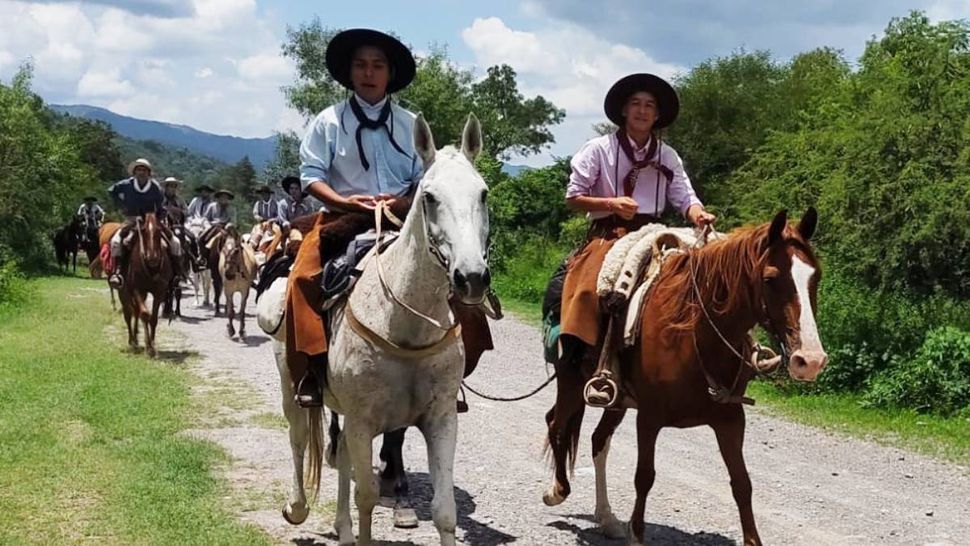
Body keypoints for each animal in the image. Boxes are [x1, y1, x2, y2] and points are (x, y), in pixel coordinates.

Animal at [120, 212, 175, 356]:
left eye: (159, 230)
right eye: (144, 231)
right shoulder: (137, 290)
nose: (152, 258)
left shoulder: (159, 292)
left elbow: (153, 318)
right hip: (123, 292)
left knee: (136, 311)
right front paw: (148, 347)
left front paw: (152, 346)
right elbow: (145, 314)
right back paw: (132, 341)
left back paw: (136, 339)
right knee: (128, 313)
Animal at [262, 112, 488, 540]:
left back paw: (342, 527)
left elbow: (444, 510)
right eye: (429, 197)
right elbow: (366, 495)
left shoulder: (441, 418)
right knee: (298, 436)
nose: (472, 277)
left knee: (342, 456)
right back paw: (297, 507)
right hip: (289, 379)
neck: (403, 321)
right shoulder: (363, 419)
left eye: (483, 194)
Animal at [544, 206, 824, 540]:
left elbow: (742, 484)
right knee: (557, 424)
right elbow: (644, 476)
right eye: (770, 278)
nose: (810, 360)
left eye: (816, 276)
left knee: (598, 440)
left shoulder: (730, 419)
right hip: (571, 381)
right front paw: (636, 535)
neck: (693, 333)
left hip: (617, 401)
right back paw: (557, 491)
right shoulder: (649, 417)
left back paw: (607, 518)